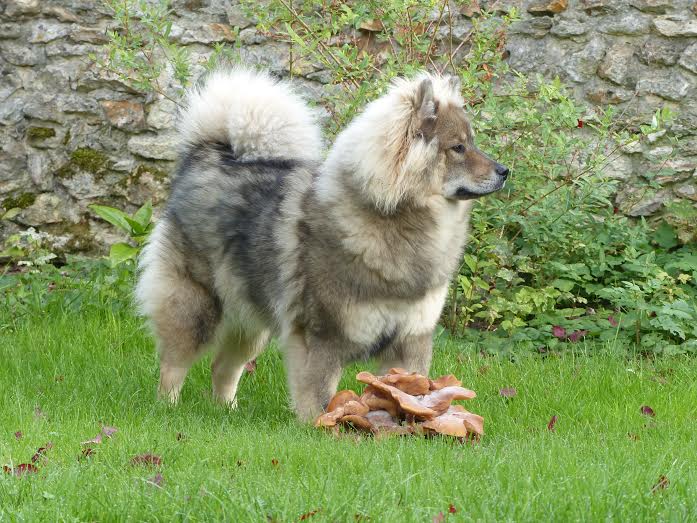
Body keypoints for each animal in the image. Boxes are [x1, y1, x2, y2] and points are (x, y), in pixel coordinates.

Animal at [135, 69, 506, 422]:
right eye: (458, 148)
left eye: (471, 143)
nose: (505, 171)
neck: (395, 220)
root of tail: (208, 153)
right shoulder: (322, 335)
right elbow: (319, 396)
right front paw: (321, 427)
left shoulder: (410, 338)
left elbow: (411, 389)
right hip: (195, 305)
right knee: (173, 365)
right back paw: (167, 408)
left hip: (250, 319)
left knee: (223, 368)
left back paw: (227, 412)